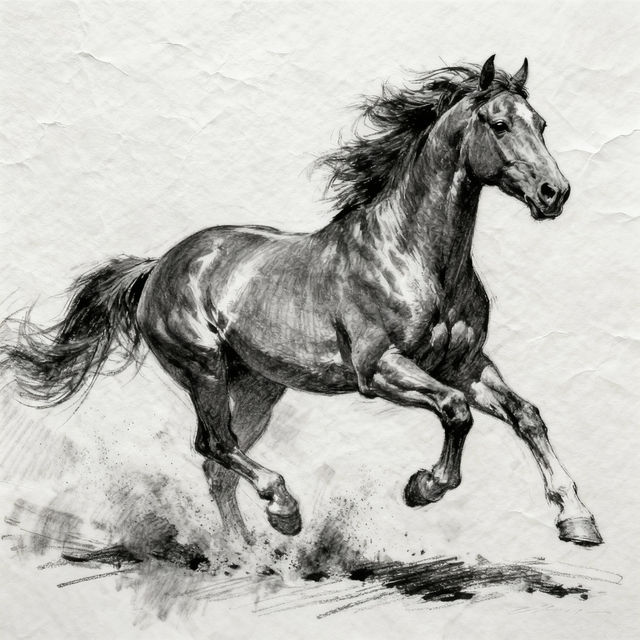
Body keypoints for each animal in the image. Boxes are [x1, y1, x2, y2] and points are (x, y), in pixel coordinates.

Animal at [2, 56, 603, 547]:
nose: (555, 193)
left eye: (541, 124)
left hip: (258, 386)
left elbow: (527, 415)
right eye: (499, 125)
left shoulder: (465, 364)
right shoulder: (379, 369)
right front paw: (424, 486)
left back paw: (247, 555)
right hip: (205, 370)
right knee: (214, 445)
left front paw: (577, 520)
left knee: (218, 466)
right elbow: (456, 412)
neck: (414, 254)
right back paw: (283, 513)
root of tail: (160, 267)